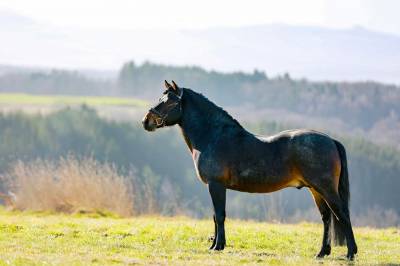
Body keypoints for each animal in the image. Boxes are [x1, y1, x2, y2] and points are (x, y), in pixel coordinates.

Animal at [142, 80, 358, 260]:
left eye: (168, 102)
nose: (146, 121)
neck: (213, 136)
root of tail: (331, 140)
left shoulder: (216, 185)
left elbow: (219, 215)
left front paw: (218, 246)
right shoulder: (214, 186)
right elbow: (215, 215)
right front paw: (213, 245)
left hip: (325, 188)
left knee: (342, 215)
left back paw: (350, 253)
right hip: (315, 189)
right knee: (326, 218)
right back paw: (321, 252)